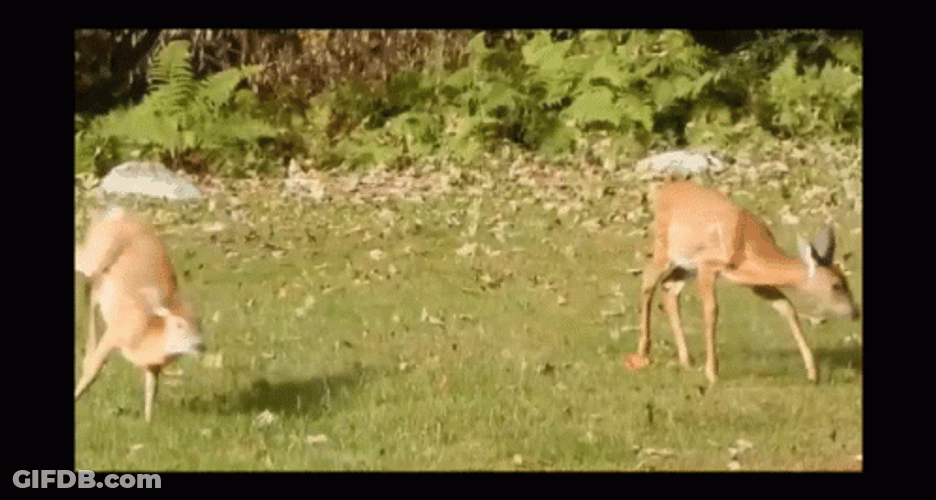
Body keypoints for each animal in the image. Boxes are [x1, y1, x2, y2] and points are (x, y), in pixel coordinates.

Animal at [75, 206, 204, 421]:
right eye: (179, 324)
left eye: (200, 322)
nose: (201, 345)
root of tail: (117, 212)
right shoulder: (115, 333)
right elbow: (93, 372)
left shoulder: (153, 365)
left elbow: (152, 389)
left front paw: (148, 420)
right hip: (95, 255)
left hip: (101, 276)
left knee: (91, 292)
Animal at [629, 179, 860, 386]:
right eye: (836, 285)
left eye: (845, 279)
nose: (855, 312)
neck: (747, 246)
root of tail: (664, 189)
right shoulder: (707, 265)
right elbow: (711, 311)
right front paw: (712, 373)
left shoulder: (754, 281)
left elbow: (786, 306)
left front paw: (813, 373)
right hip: (664, 248)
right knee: (648, 280)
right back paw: (643, 353)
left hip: (686, 267)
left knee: (669, 287)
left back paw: (686, 360)